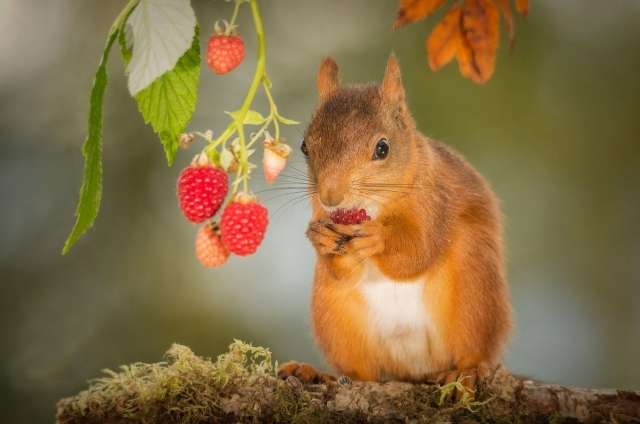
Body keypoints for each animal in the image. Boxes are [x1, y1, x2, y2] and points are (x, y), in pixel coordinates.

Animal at [278, 55, 512, 388]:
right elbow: (341, 271)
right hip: (335, 318)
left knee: (474, 350)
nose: (331, 197)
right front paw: (320, 239)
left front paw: (378, 237)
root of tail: (413, 369)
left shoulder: (436, 203)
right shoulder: (320, 214)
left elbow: (418, 251)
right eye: (305, 147)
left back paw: (466, 371)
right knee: (359, 374)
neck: (373, 209)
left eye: (382, 148)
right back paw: (317, 374)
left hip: (475, 294)